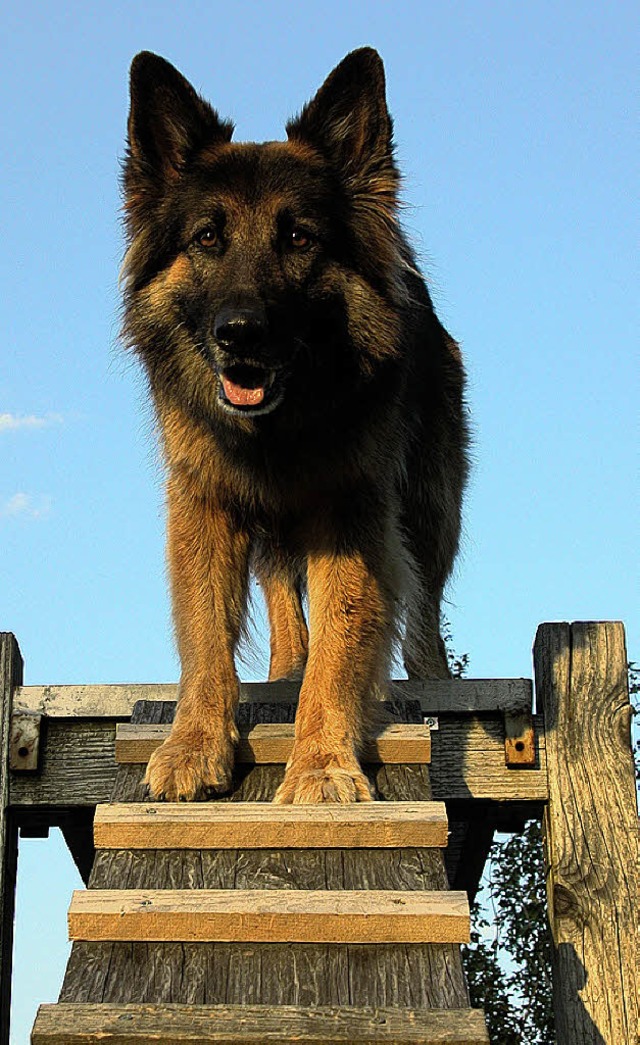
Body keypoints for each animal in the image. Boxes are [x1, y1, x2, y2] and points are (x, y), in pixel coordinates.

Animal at [122, 47, 468, 798]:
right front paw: (194, 744)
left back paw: (432, 678)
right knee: (281, 587)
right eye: (208, 238)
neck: (280, 432)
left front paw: (321, 764)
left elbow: (342, 642)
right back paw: (284, 668)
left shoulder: (353, 511)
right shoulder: (205, 501)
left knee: (425, 599)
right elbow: (204, 631)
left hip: (430, 505)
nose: (240, 333)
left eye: (299, 239)